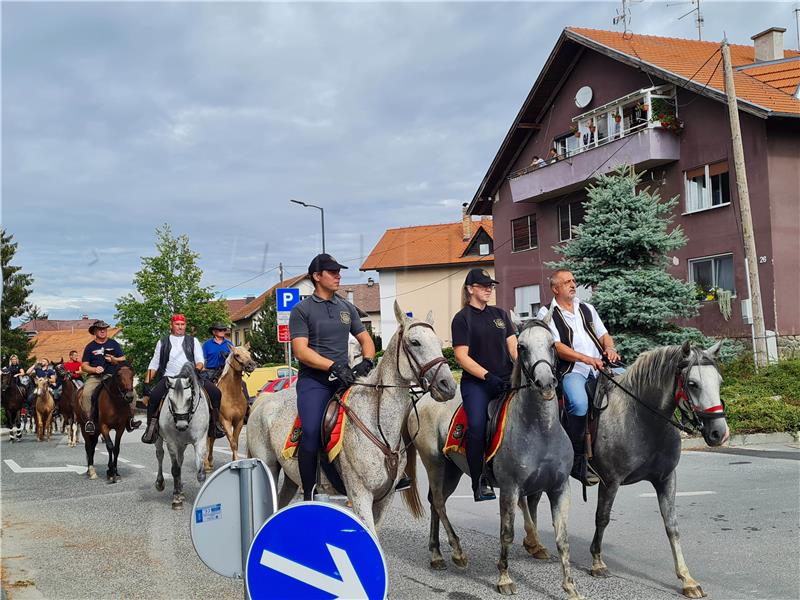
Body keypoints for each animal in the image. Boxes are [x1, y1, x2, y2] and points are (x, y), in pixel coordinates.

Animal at [153, 364, 209, 508]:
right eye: (171, 400)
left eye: (189, 399)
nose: (182, 426)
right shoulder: (171, 442)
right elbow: (175, 470)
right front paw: (177, 499)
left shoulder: (200, 441)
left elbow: (200, 473)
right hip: (159, 439)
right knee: (160, 455)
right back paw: (161, 484)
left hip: (182, 444)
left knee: (180, 459)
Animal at [206, 344, 256, 472]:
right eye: (237, 355)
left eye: (249, 353)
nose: (251, 365)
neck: (232, 394)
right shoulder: (226, 421)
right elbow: (232, 443)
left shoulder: (238, 422)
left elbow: (235, 442)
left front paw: (235, 460)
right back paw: (206, 464)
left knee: (211, 440)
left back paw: (209, 461)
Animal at [247, 302, 460, 532]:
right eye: (415, 342)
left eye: (438, 343)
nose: (448, 386)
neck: (378, 424)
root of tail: (262, 401)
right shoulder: (360, 495)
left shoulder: (383, 499)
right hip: (270, 467)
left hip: (290, 480)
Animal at [406, 312, 580, 596]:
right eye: (522, 347)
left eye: (553, 344)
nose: (545, 383)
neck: (540, 429)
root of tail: (422, 399)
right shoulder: (510, 489)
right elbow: (506, 533)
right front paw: (504, 578)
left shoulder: (559, 488)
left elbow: (562, 538)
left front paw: (570, 586)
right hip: (435, 464)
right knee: (439, 503)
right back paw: (456, 553)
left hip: (452, 471)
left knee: (435, 502)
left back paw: (437, 555)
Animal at [532, 340, 724, 596]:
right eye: (692, 384)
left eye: (719, 381)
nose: (719, 433)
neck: (642, 419)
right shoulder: (610, 481)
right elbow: (602, 518)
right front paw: (597, 562)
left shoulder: (666, 479)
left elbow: (672, 525)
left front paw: (687, 579)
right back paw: (534, 544)